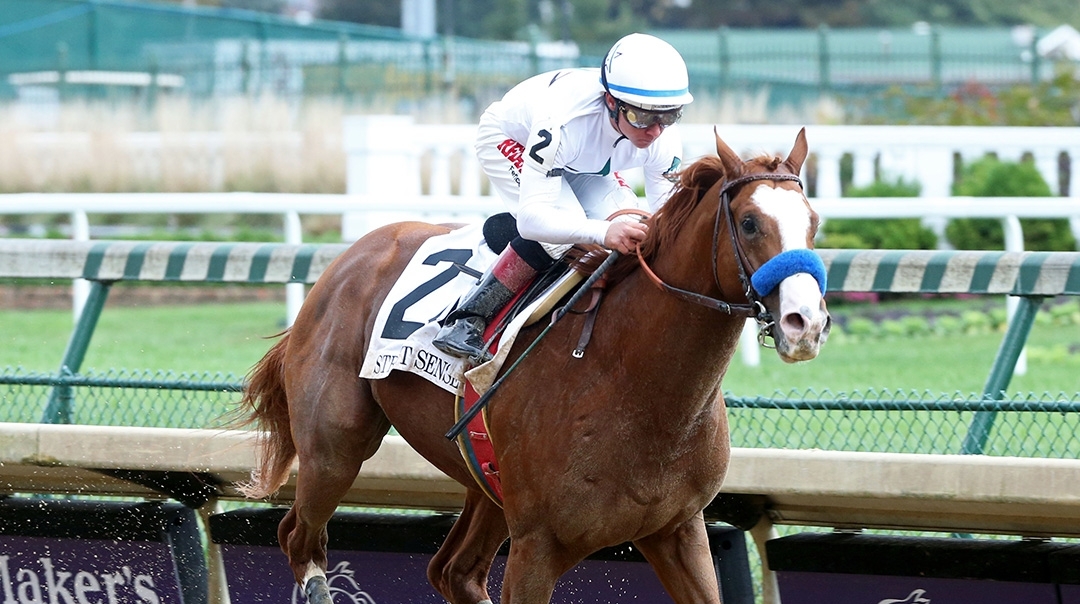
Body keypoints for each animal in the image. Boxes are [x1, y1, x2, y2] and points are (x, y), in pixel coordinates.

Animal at [237, 127, 831, 604]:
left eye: (814, 222)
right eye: (750, 223)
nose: (805, 322)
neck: (633, 380)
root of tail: (346, 258)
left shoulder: (679, 531)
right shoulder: (538, 545)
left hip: (486, 480)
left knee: (452, 572)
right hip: (334, 449)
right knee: (300, 540)